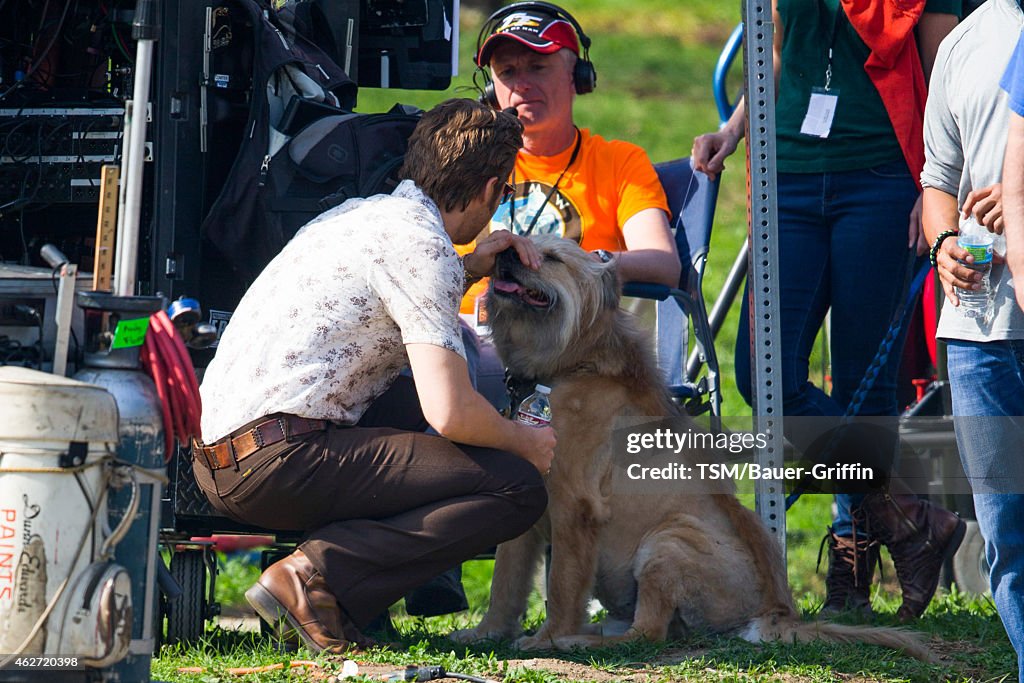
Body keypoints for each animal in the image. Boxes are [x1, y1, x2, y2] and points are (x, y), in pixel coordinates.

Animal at [452, 236, 933, 663]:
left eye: (550, 257)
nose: (505, 255)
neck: (573, 362)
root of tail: (775, 613)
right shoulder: (531, 510)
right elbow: (505, 581)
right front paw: (487, 633)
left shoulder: (575, 508)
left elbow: (563, 585)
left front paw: (548, 638)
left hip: (668, 542)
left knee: (646, 634)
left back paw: (577, 641)